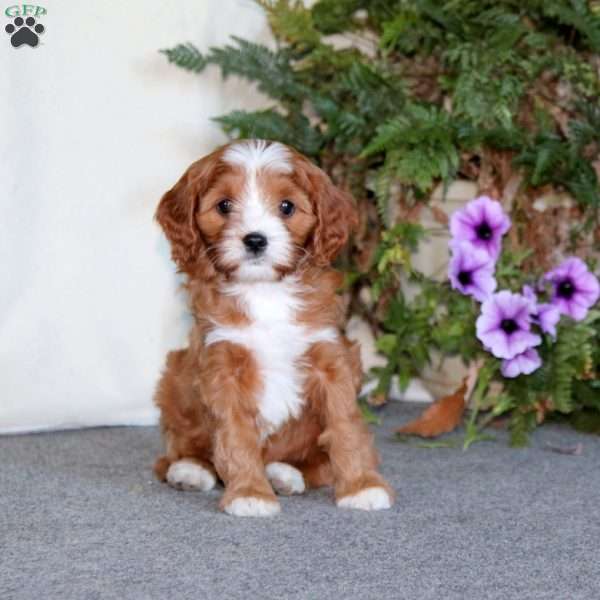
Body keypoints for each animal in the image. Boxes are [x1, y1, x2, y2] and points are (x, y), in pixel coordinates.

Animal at [154, 139, 394, 516]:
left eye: (286, 207)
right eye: (224, 205)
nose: (255, 240)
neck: (265, 290)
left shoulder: (331, 359)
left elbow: (345, 425)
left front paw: (361, 486)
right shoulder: (222, 363)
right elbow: (235, 434)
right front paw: (250, 493)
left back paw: (285, 473)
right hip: (174, 381)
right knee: (177, 448)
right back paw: (191, 469)